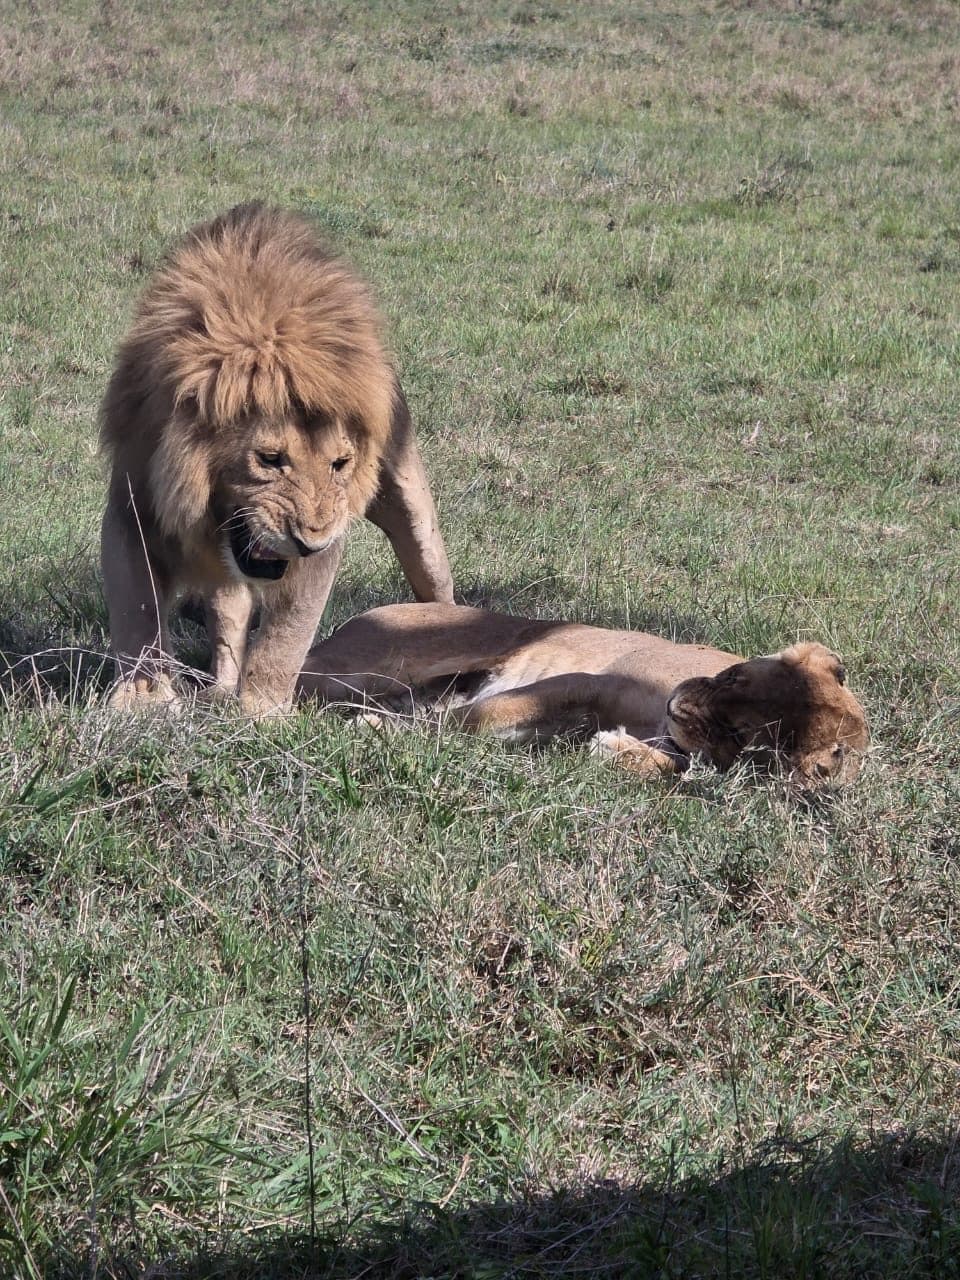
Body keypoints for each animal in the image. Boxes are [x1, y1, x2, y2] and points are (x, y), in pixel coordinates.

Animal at [100, 203, 453, 715]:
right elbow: (138, 607)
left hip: (413, 511)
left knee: (431, 570)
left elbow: (287, 635)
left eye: (339, 464)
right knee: (230, 608)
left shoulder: (329, 528)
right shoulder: (133, 507)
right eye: (270, 459)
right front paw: (144, 699)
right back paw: (220, 687)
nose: (309, 543)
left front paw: (260, 713)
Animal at [298, 603, 869, 786]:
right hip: (353, 671)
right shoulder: (592, 681)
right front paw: (409, 735)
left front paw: (614, 751)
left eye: (737, 732)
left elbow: (675, 767)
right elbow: (480, 716)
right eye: (732, 676)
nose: (678, 705)